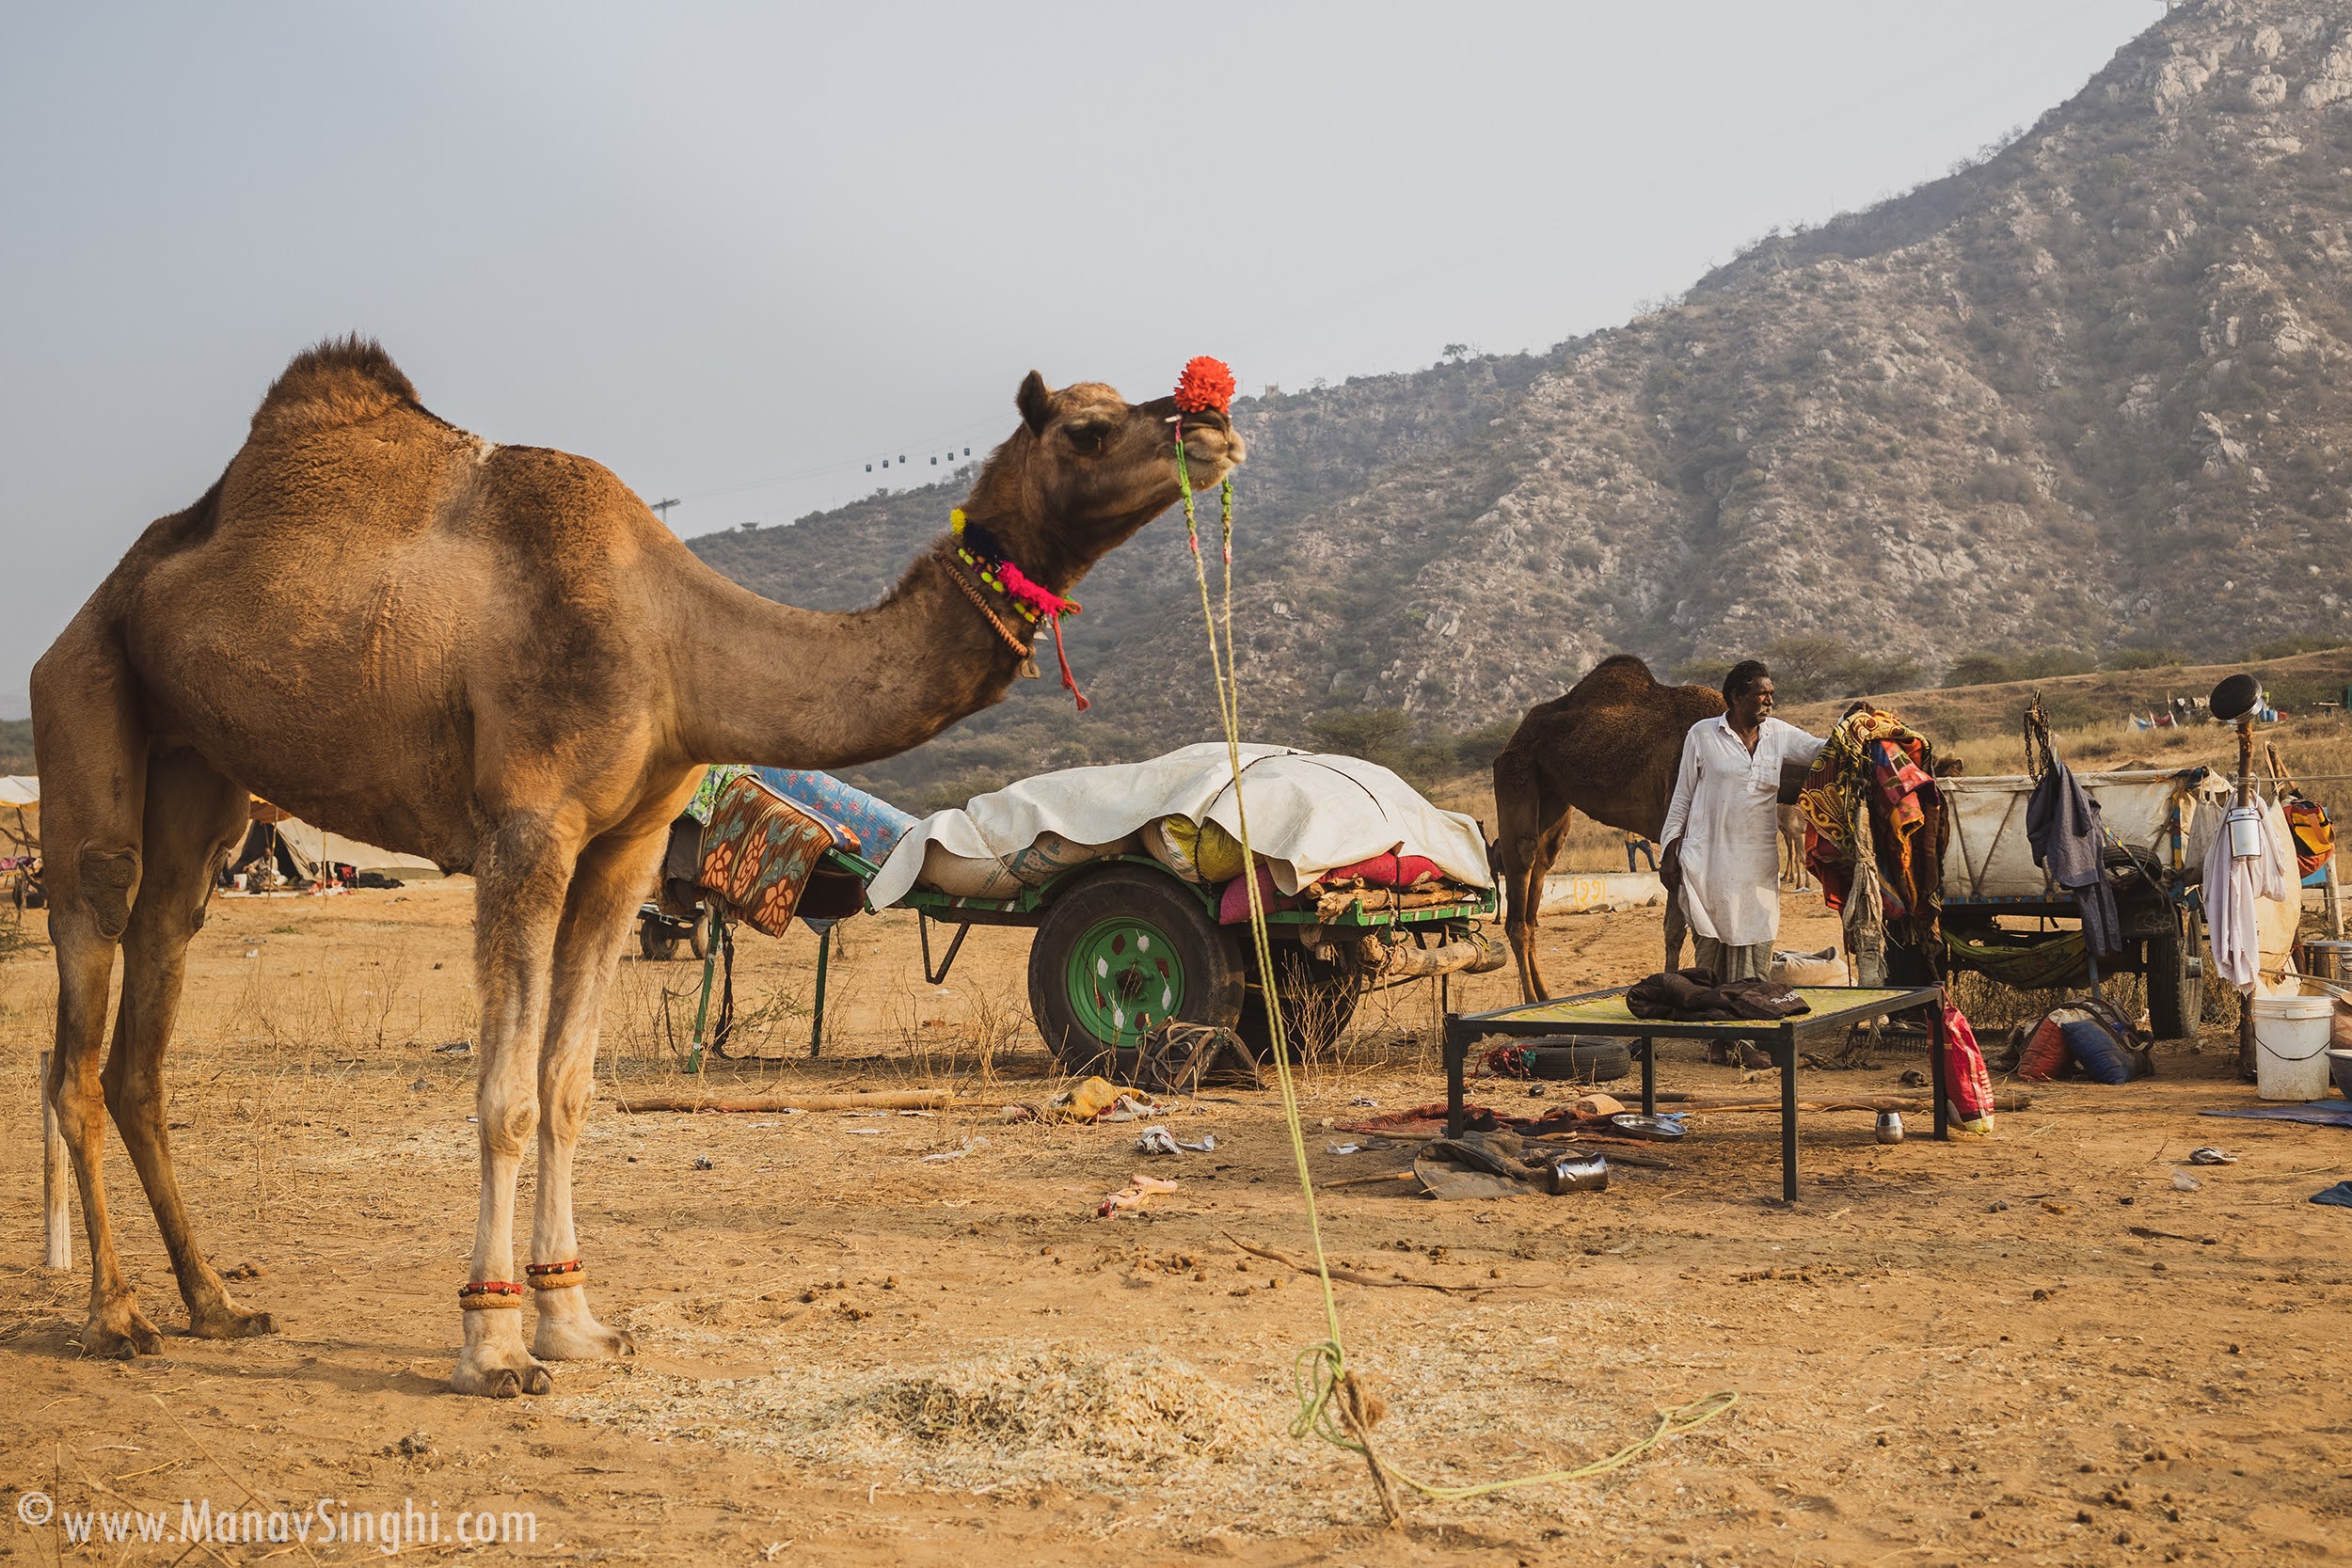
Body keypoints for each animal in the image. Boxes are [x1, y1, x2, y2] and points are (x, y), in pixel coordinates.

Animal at [37, 341, 1242, 1401]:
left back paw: (212, 1303)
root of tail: (102, 599)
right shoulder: (526, 828)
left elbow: (570, 1087)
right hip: (86, 705)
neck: (677, 647)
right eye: (1087, 428)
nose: (1214, 422)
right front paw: (493, 1345)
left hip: (200, 772)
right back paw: (116, 1314)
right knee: (83, 999)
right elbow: (506, 1095)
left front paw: (573, 1319)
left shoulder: (625, 844)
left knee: (150, 1003)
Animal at [1486, 653, 1731, 1001]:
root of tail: (1512, 739)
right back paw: (1531, 1002)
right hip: (1515, 772)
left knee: (1540, 871)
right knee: (1522, 867)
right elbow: (1678, 928)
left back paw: (1545, 995)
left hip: (1553, 798)